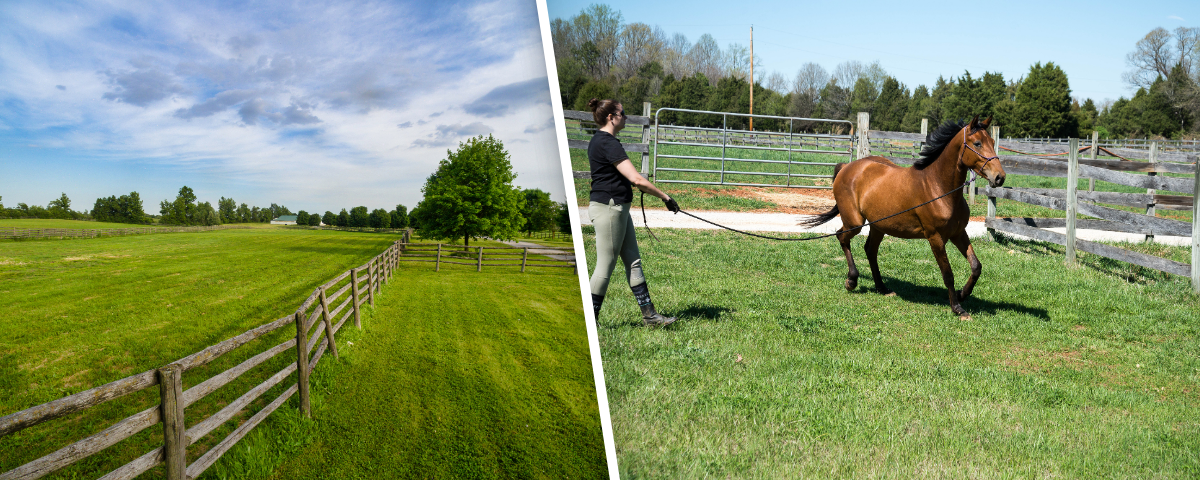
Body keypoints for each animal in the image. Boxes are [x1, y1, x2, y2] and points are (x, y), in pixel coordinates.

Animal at [801, 116, 1006, 318]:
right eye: (977, 143)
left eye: (993, 142)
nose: (999, 177)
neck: (938, 187)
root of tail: (846, 167)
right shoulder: (935, 237)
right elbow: (948, 274)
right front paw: (958, 308)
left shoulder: (958, 233)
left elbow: (976, 266)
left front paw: (962, 294)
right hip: (855, 222)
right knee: (842, 237)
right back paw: (851, 281)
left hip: (878, 226)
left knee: (870, 250)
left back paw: (882, 288)